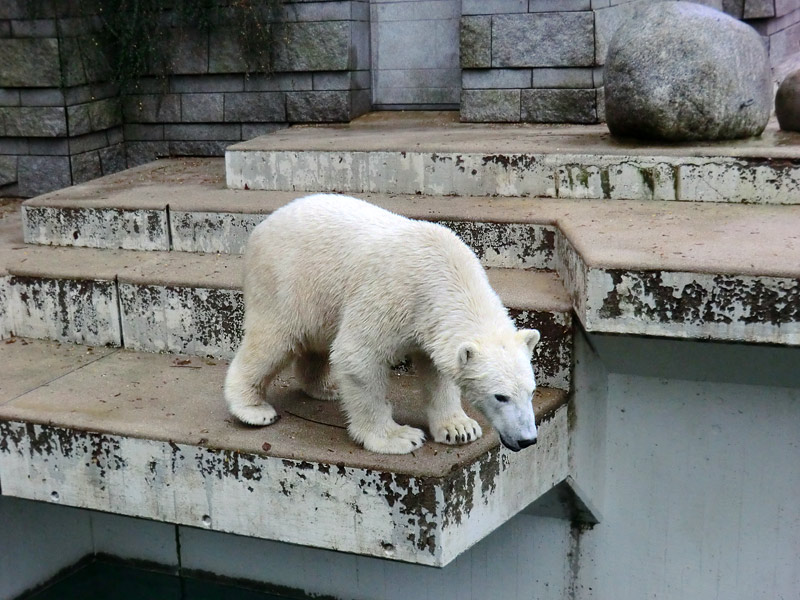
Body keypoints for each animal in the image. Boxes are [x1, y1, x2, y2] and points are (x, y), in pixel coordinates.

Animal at [222, 193, 540, 454]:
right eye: (500, 397)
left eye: (531, 391)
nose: (527, 440)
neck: (446, 272)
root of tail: (265, 223)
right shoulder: (394, 297)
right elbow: (357, 355)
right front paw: (398, 437)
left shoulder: (430, 323)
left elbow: (437, 371)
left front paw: (459, 429)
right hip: (285, 282)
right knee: (273, 342)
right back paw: (253, 409)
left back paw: (327, 388)